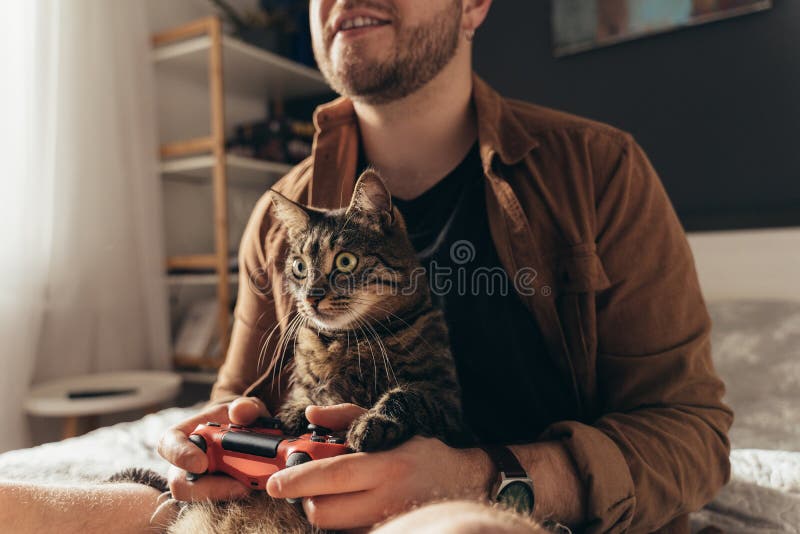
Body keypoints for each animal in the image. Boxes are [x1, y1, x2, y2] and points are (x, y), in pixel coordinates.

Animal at [159, 171, 466, 534]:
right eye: (299, 267)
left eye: (345, 261)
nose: (311, 296)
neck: (347, 340)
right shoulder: (306, 384)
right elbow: (303, 399)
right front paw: (286, 417)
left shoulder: (450, 406)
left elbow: (407, 395)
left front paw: (372, 422)